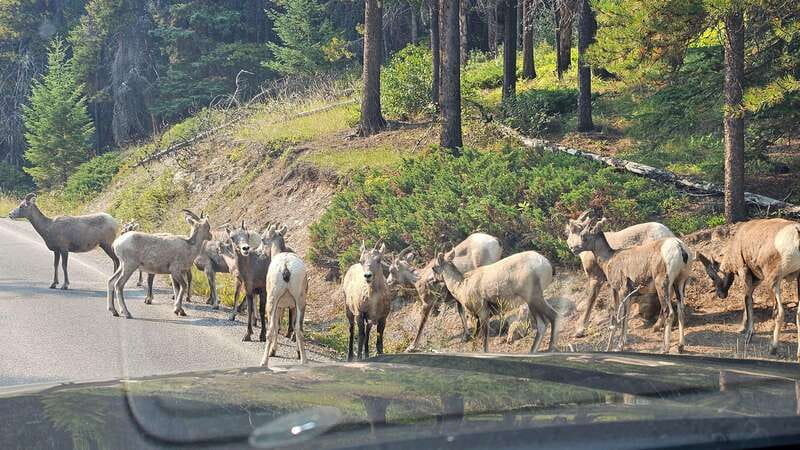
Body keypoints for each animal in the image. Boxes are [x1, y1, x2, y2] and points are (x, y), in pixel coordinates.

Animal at [431, 249, 560, 353]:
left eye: (433, 268)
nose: (433, 282)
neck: (461, 286)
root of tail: (547, 264)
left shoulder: (483, 313)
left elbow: (485, 340)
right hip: (533, 301)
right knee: (542, 324)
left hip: (534, 298)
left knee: (553, 316)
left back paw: (549, 349)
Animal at [567, 216, 693, 353]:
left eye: (583, 235)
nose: (573, 248)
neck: (610, 258)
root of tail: (679, 246)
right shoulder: (628, 294)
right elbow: (623, 316)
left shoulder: (622, 291)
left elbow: (621, 316)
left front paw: (619, 346)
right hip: (680, 283)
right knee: (681, 310)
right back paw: (680, 346)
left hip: (662, 284)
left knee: (668, 313)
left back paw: (664, 349)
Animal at [697, 218, 800, 360]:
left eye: (712, 277)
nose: (721, 294)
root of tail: (797, 234)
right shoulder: (757, 278)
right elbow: (748, 296)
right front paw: (742, 328)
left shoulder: (744, 270)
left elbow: (748, 299)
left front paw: (748, 335)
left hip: (773, 281)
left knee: (779, 312)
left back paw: (772, 348)